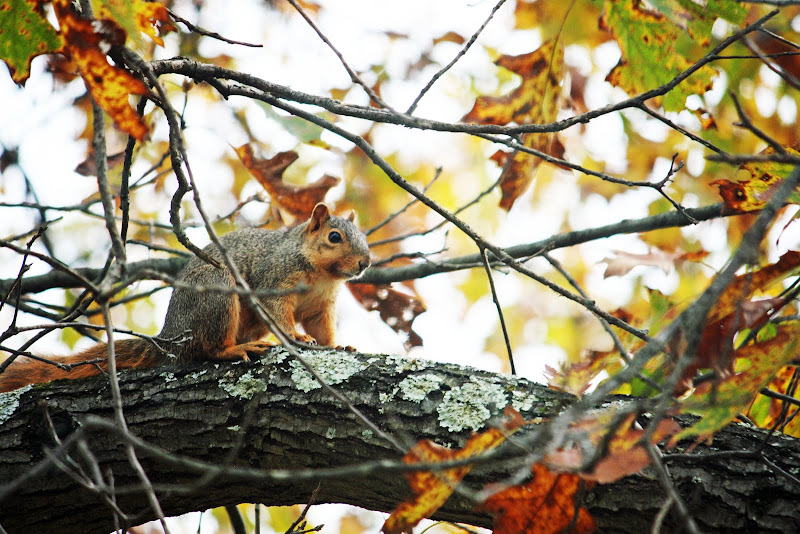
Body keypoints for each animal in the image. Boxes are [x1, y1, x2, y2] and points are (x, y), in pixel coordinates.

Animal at [0, 203, 371, 393]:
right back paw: (235, 349)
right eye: (334, 237)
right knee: (206, 348)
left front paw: (338, 345)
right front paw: (296, 336)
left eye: (364, 237)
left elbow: (323, 328)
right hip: (218, 296)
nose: (365, 262)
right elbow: (278, 314)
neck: (323, 276)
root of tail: (169, 337)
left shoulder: (322, 306)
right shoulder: (275, 280)